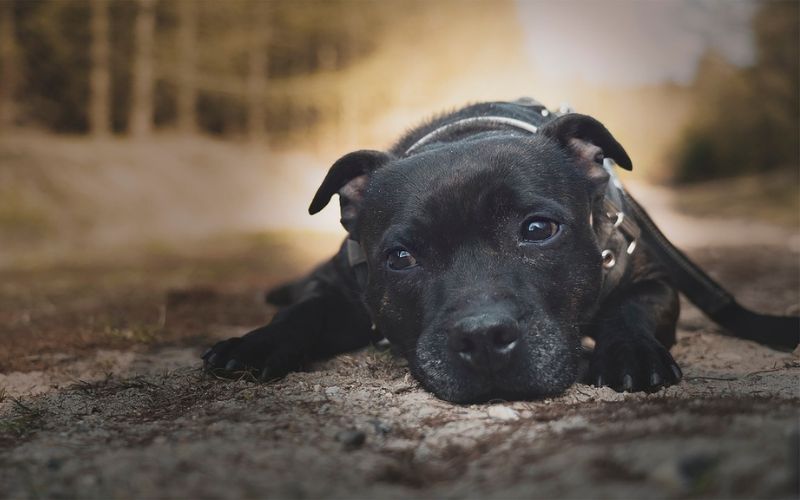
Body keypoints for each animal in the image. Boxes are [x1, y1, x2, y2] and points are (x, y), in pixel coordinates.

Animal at [202, 99, 800, 404]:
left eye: (538, 229)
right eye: (401, 258)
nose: (484, 337)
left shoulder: (648, 277)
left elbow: (630, 310)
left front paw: (630, 352)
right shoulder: (344, 291)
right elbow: (305, 311)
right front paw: (255, 344)